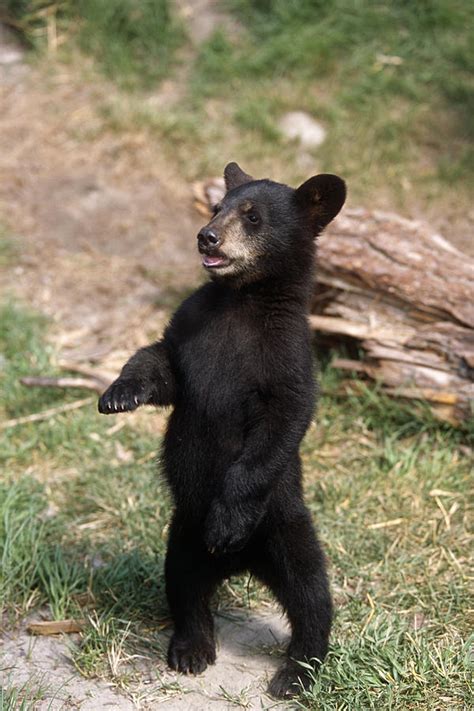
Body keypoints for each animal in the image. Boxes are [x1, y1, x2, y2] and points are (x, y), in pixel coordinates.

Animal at [98, 163, 346, 700]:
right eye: (217, 207)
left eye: (252, 217)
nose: (206, 235)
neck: (243, 300)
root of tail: (242, 565)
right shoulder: (193, 328)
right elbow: (162, 363)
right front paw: (118, 393)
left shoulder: (289, 358)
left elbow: (282, 423)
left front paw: (229, 519)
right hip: (182, 534)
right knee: (185, 586)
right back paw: (192, 648)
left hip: (284, 526)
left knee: (311, 593)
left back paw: (297, 671)